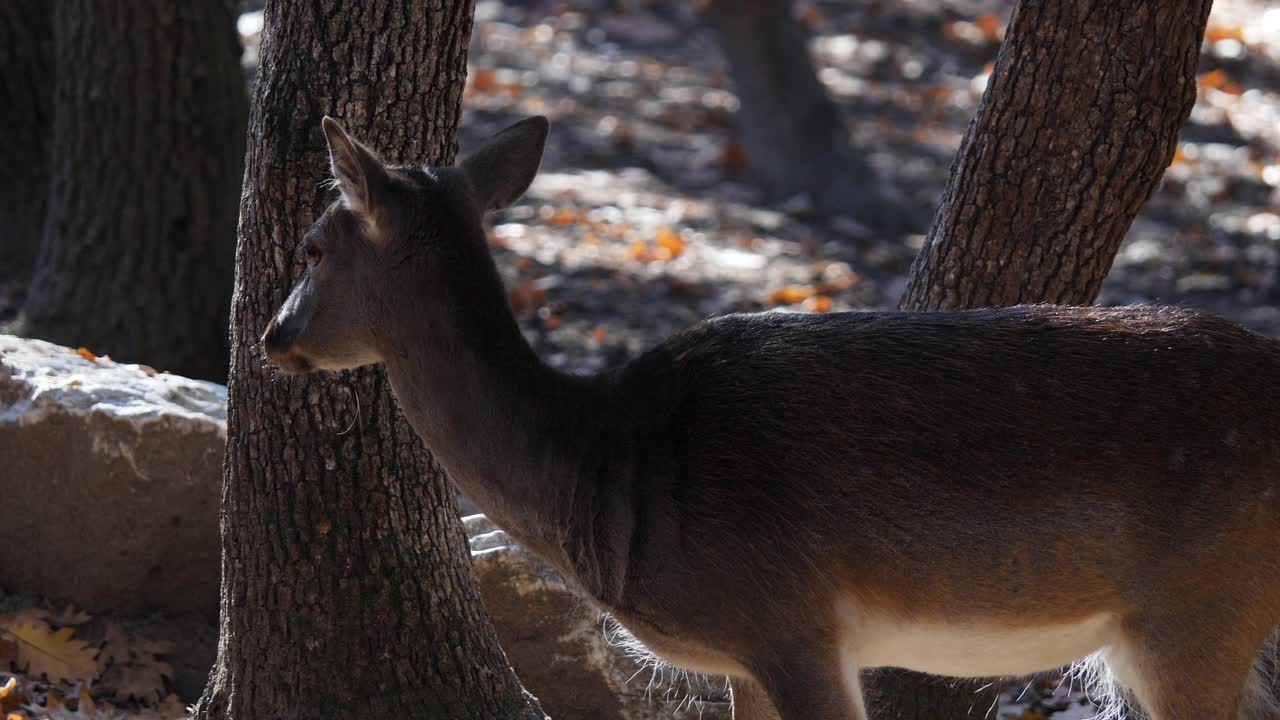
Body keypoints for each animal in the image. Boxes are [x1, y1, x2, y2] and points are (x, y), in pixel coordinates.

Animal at [262, 114, 1280, 712]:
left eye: (312, 246)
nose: (274, 336)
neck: (607, 479)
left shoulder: (790, 621)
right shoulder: (743, 656)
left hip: (1202, 605)